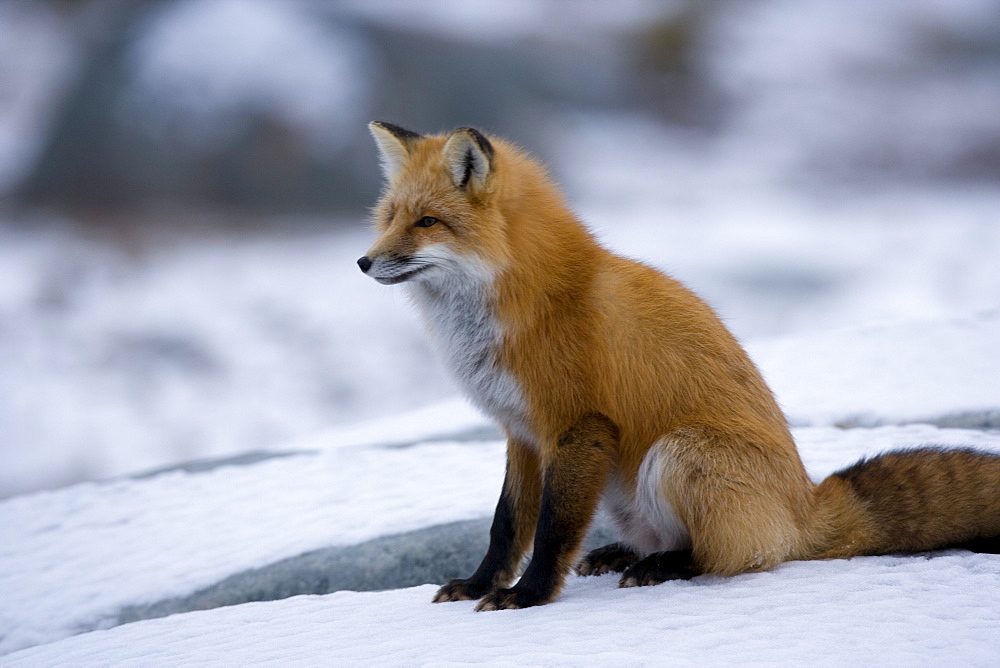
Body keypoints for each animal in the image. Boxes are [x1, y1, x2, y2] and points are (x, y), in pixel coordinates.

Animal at [360, 122, 1000, 612]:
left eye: (427, 222)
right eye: (388, 217)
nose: (363, 262)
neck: (527, 301)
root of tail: (805, 505)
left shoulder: (578, 425)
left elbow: (552, 529)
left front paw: (529, 596)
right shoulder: (522, 432)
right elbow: (507, 524)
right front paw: (479, 585)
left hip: (677, 453)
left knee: (739, 557)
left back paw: (668, 566)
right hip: (624, 485)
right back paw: (626, 554)